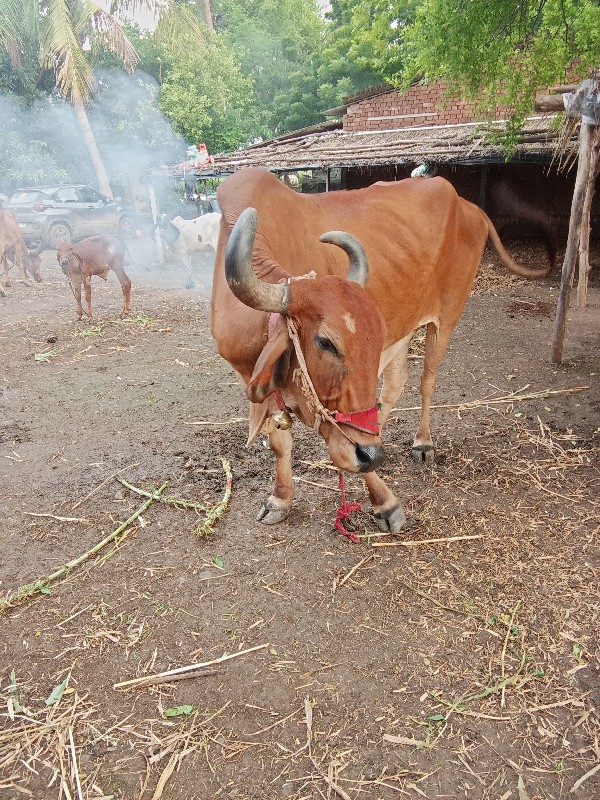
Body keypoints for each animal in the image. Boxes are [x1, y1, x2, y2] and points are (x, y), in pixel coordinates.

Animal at [212, 168, 552, 532]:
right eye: (326, 342)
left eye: (374, 336)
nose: (374, 454)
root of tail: (466, 204)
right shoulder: (252, 380)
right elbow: (280, 441)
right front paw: (280, 499)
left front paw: (384, 502)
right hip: (406, 327)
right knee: (393, 385)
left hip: (447, 317)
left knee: (426, 381)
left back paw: (422, 441)